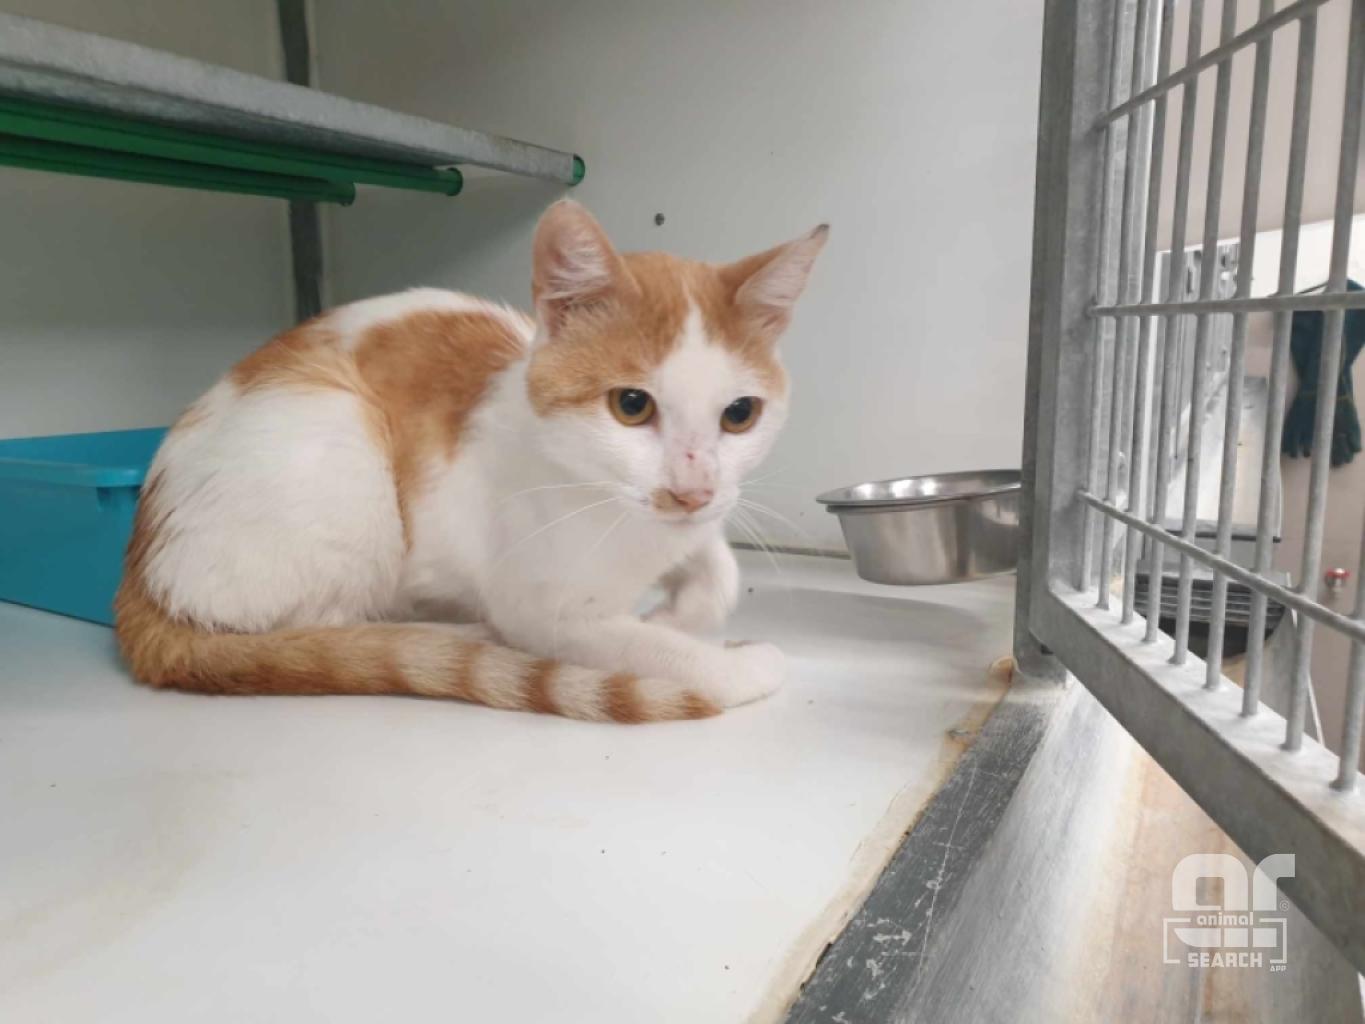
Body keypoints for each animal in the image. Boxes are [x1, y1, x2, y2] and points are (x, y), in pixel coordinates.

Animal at [115, 200, 827, 723]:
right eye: (631, 405)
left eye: (740, 414)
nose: (691, 490)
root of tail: (137, 570)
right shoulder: (544, 612)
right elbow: (670, 655)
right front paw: (728, 657)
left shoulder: (704, 518)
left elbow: (720, 571)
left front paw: (674, 612)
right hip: (343, 452)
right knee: (322, 627)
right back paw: (452, 637)